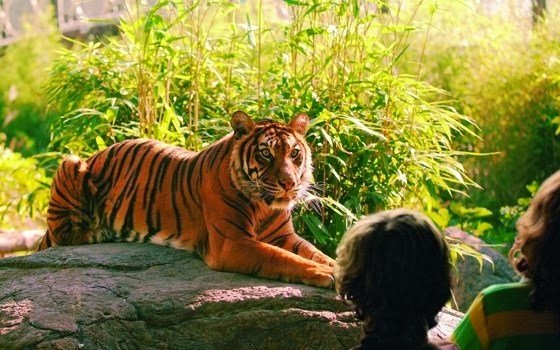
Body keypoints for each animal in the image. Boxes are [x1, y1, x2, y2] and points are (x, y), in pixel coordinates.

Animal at [41, 111, 336, 288]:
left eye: (294, 153)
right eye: (265, 153)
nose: (289, 183)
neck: (263, 206)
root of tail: (96, 154)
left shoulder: (283, 235)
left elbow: (315, 253)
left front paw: (334, 267)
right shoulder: (232, 242)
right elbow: (283, 258)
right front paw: (326, 274)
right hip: (71, 162)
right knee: (61, 235)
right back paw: (99, 232)